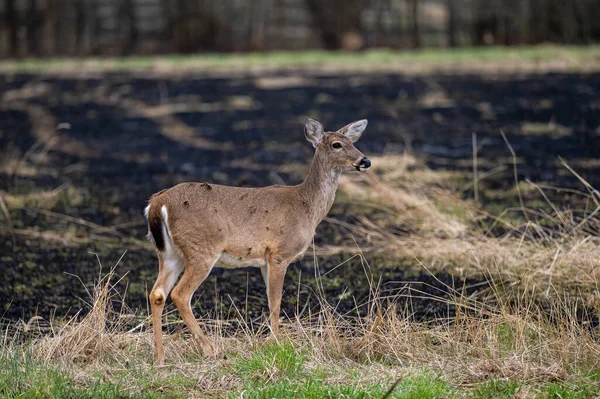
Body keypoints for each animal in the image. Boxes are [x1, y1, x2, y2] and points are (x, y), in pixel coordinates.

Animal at [145, 117, 370, 364]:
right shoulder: (280, 254)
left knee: (157, 293)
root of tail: (157, 204)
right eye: (337, 144)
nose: (365, 160)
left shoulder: (265, 259)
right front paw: (277, 344)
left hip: (169, 253)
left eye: (353, 141)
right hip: (202, 248)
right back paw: (210, 350)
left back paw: (160, 358)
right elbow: (276, 301)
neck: (306, 207)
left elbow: (271, 300)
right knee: (180, 294)